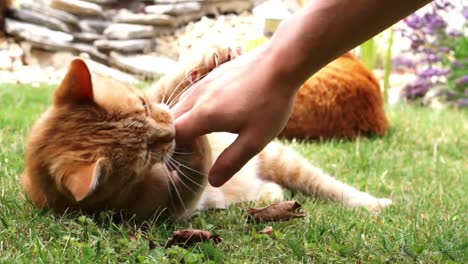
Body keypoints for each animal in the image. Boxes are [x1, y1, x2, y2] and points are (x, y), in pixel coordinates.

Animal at [22, 46, 392, 220]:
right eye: (144, 156)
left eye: (143, 104)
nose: (171, 132)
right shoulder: (175, 210)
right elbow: (197, 172)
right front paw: (195, 144)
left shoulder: (162, 98)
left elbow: (172, 84)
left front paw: (212, 55)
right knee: (279, 189)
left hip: (285, 159)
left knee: (331, 187)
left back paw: (373, 202)